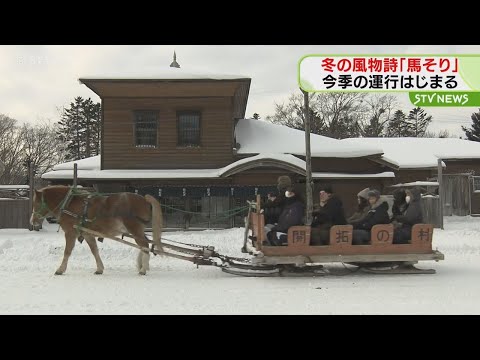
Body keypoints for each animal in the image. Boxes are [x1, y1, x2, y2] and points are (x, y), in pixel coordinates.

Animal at [31, 186, 164, 276]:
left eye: (36, 203)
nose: (32, 222)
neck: (69, 203)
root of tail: (145, 199)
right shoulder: (87, 234)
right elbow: (95, 251)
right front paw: (100, 269)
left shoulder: (70, 233)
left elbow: (67, 252)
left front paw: (60, 269)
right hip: (138, 230)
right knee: (144, 245)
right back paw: (142, 265)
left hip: (135, 229)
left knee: (144, 245)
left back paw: (143, 269)